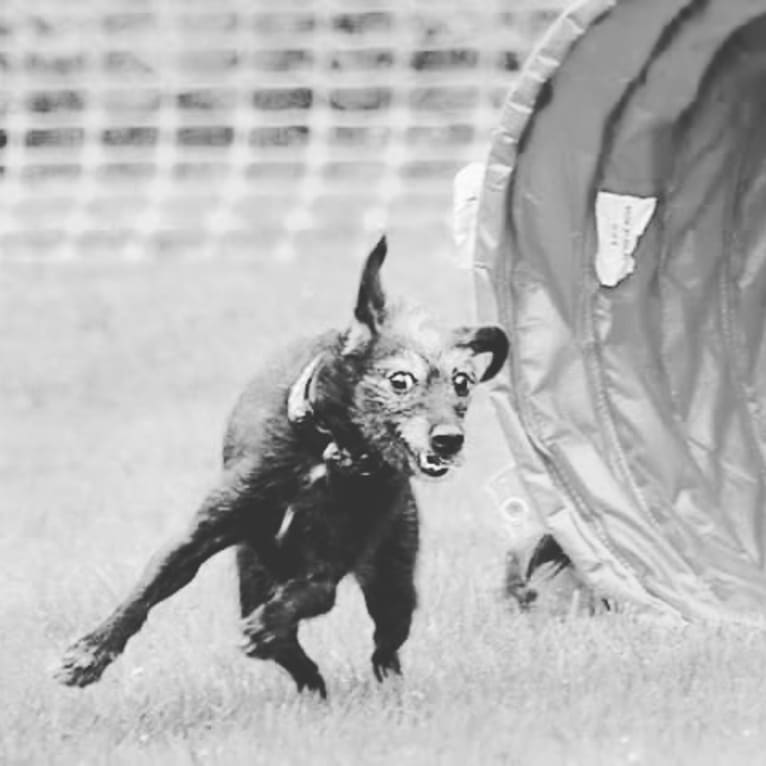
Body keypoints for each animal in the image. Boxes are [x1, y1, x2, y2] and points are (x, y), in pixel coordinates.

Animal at [54, 237, 510, 700]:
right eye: (400, 380)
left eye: (463, 382)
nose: (449, 440)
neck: (329, 453)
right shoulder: (208, 530)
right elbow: (149, 587)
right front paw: (91, 652)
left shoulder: (329, 566)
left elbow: (306, 598)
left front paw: (266, 627)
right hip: (253, 574)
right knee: (295, 653)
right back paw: (312, 687)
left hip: (392, 576)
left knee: (386, 643)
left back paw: (383, 686)